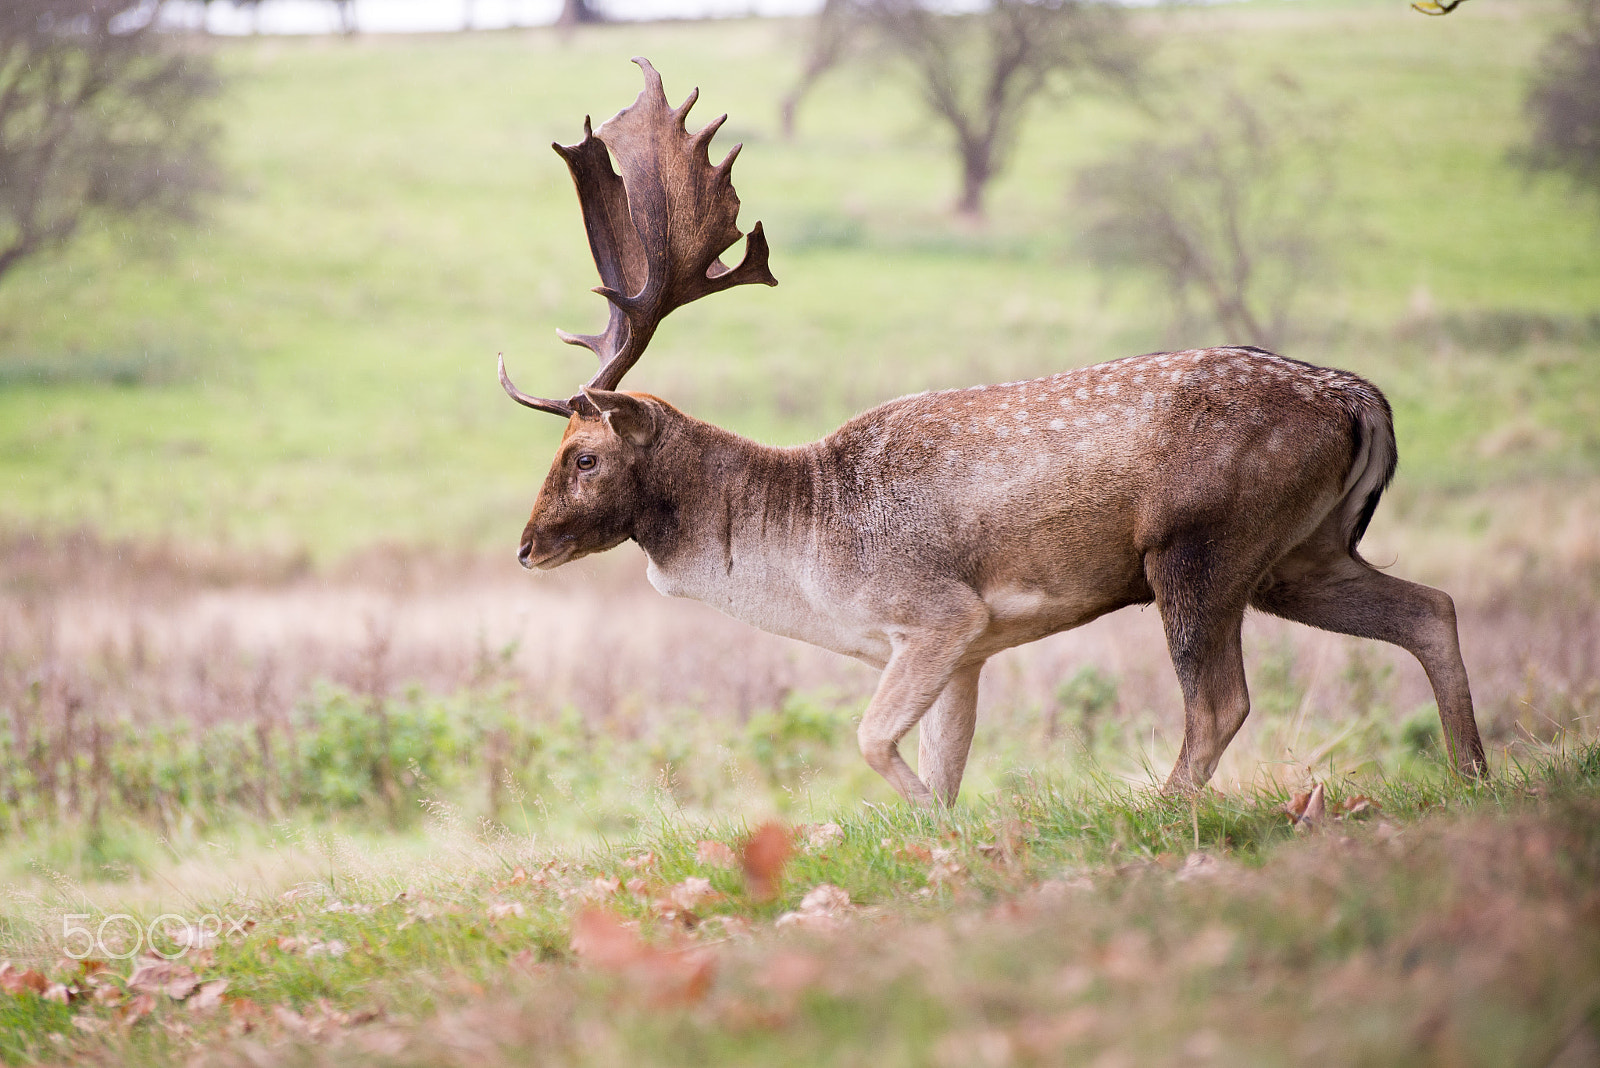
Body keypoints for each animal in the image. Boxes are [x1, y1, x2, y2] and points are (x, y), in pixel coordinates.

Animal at [498, 58, 1487, 806]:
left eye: (584, 457)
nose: (527, 546)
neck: (805, 556)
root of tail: (1360, 401)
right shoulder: (966, 651)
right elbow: (945, 762)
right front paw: (939, 826)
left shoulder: (939, 612)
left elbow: (872, 742)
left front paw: (928, 823)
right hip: (1300, 552)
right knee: (1430, 608)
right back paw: (1473, 775)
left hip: (1201, 541)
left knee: (1220, 703)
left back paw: (1163, 811)